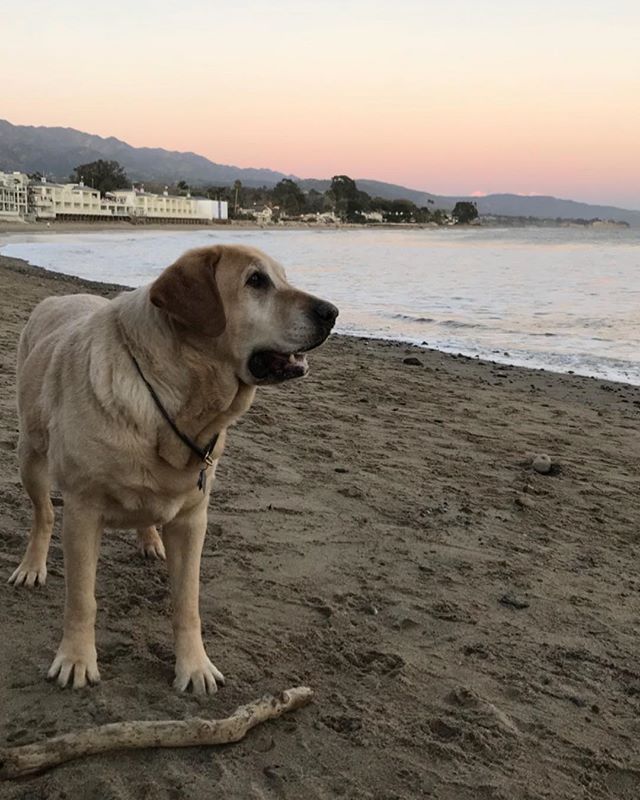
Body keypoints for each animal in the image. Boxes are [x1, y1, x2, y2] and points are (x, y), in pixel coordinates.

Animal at [10, 244, 338, 692]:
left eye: (284, 277)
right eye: (256, 281)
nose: (333, 312)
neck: (172, 403)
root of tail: (57, 298)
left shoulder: (192, 518)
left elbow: (187, 603)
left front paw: (194, 666)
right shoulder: (82, 510)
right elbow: (81, 598)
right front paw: (76, 658)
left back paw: (149, 538)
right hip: (30, 456)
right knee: (42, 513)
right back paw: (32, 565)